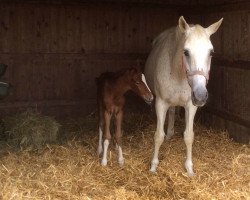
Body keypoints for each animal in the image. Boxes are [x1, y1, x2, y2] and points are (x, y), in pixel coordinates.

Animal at [145, 16, 223, 176]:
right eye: (186, 52)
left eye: (211, 52)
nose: (200, 95)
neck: (178, 74)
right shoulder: (160, 103)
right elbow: (158, 136)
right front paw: (153, 166)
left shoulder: (190, 106)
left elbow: (188, 136)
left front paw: (189, 168)